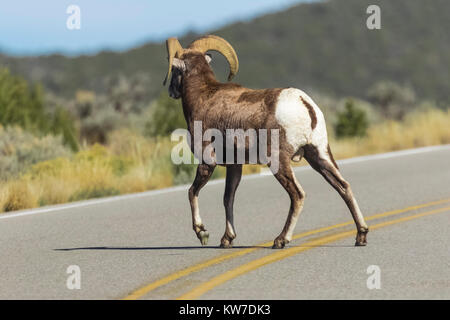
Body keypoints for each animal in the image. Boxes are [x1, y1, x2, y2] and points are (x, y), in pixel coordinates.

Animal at [163, 35, 368, 250]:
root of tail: (304, 103)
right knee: (343, 186)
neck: (203, 96)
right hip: (319, 156)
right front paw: (227, 239)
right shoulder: (235, 166)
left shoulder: (207, 162)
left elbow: (192, 192)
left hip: (279, 161)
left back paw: (280, 240)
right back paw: (361, 235)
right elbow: (228, 199)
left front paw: (202, 233)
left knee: (298, 194)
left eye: (175, 70)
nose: (171, 91)